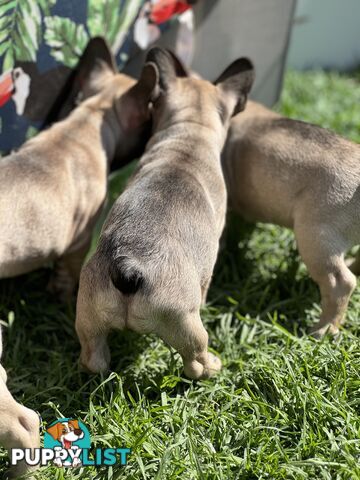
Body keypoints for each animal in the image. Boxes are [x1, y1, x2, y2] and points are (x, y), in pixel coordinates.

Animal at [74, 47, 255, 378]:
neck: (189, 134)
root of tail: (128, 269)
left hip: (89, 311)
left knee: (94, 356)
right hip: (185, 323)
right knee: (195, 359)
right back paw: (212, 367)